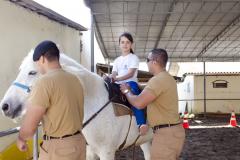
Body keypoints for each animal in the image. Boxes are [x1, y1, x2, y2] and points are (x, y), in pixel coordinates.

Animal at [0, 51, 152, 160]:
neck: (96, 104)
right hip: (145, 141)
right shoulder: (90, 151)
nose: (5, 106)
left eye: (32, 72)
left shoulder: (107, 152)